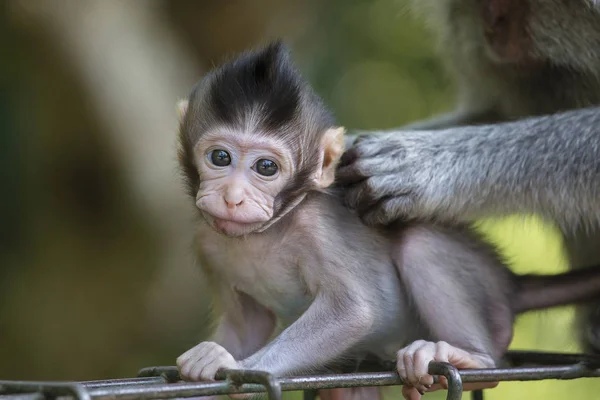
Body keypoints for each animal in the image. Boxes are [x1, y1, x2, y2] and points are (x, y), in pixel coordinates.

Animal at [173, 42, 600, 398]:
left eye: (266, 167)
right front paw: (210, 359)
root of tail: (509, 282)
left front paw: (236, 364)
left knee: (421, 246)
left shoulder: (316, 229)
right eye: (220, 158)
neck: (266, 232)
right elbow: (248, 325)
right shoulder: (206, 243)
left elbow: (353, 311)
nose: (232, 197)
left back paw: (472, 357)